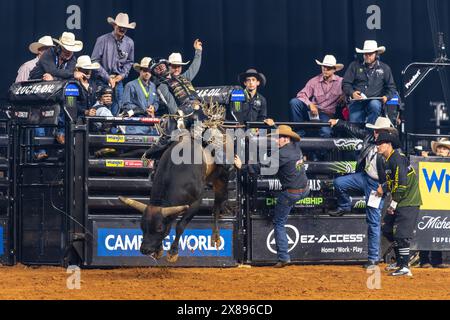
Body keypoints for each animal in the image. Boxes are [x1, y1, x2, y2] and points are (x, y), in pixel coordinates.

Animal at [118, 105, 234, 262]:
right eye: (142, 226)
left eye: (159, 228)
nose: (145, 250)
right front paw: (159, 250)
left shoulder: (196, 202)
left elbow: (180, 225)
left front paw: (173, 252)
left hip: (221, 177)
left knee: (217, 205)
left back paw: (215, 236)